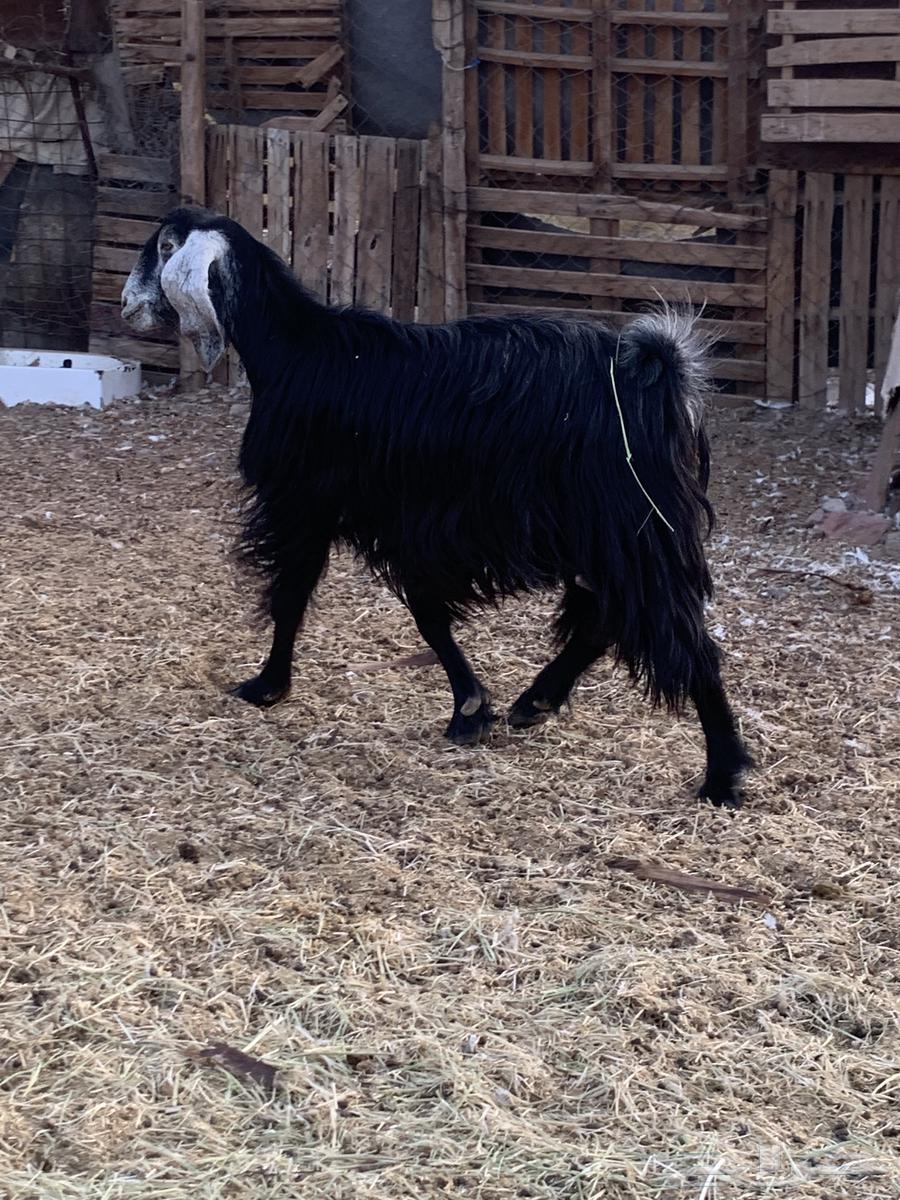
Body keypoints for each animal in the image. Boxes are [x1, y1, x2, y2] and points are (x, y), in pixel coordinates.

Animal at [122, 207, 752, 808]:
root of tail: (659, 372)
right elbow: (425, 612)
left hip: (631, 523)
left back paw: (722, 776)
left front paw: (267, 687)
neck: (296, 350)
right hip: (603, 529)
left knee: (676, 632)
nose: (127, 307)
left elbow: (295, 595)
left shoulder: (309, 504)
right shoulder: (407, 525)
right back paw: (537, 701)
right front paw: (471, 708)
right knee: (606, 614)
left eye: (163, 246)